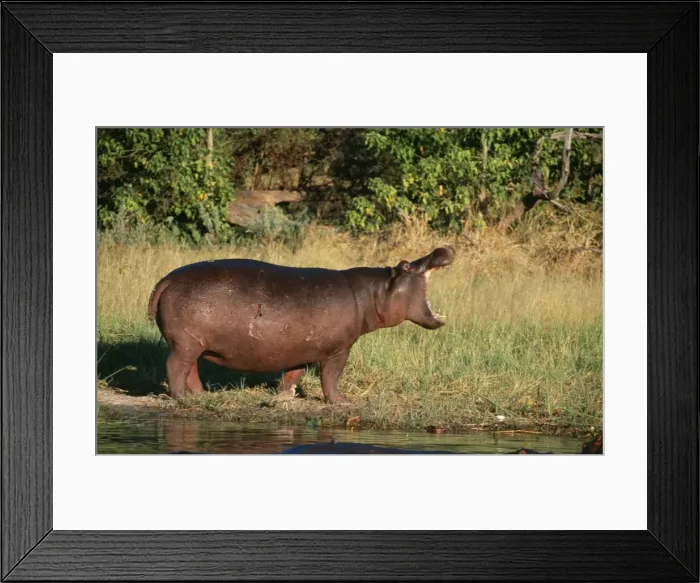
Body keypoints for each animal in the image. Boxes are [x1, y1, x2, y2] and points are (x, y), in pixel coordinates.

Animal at [147, 247, 455, 403]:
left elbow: (292, 375)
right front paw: (343, 403)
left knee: (191, 370)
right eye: (405, 266)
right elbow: (330, 377)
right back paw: (180, 399)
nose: (442, 248)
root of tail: (166, 279)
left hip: (193, 343)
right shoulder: (339, 349)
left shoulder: (301, 349)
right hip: (184, 343)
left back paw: (200, 396)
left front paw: (285, 398)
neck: (374, 293)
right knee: (175, 368)